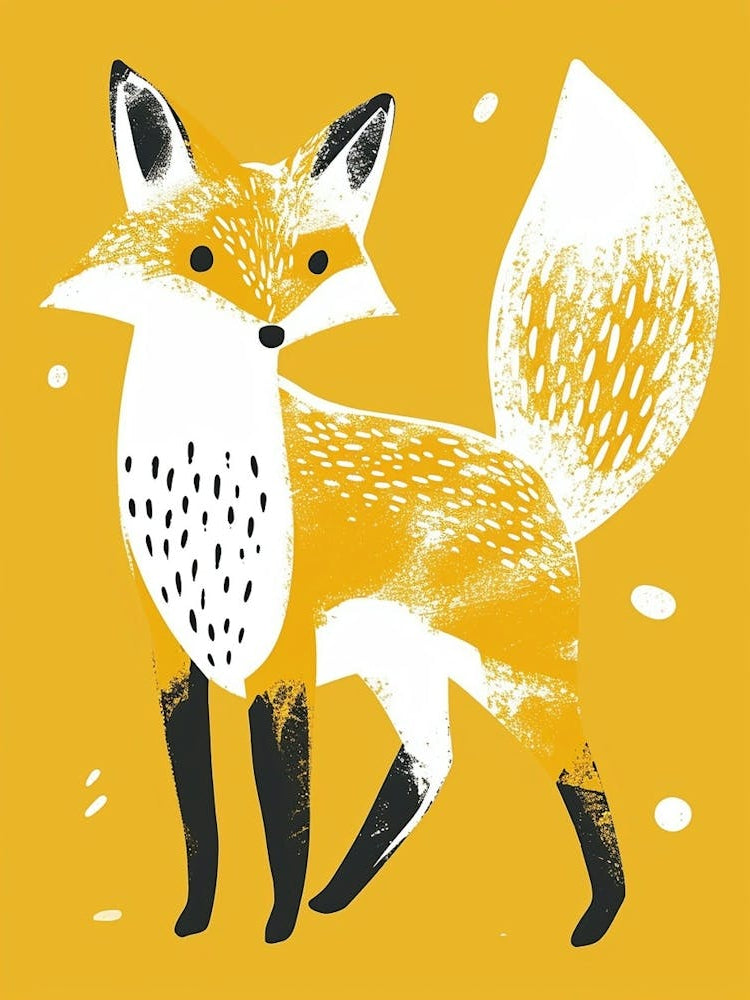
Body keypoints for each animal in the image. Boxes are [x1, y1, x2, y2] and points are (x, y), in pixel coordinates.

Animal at [42, 58, 718, 948]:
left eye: (317, 261)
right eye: (201, 258)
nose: (270, 333)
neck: (198, 479)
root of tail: (538, 474)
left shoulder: (281, 658)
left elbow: (282, 815)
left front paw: (276, 930)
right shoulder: (176, 656)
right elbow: (200, 817)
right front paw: (197, 921)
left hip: (519, 683)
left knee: (587, 781)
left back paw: (597, 920)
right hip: (407, 669)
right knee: (432, 765)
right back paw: (339, 897)